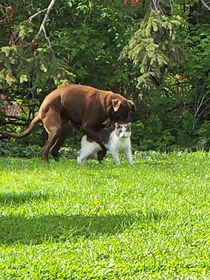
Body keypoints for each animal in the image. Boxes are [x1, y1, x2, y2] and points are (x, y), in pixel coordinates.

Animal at [4, 83, 135, 162]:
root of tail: (41, 110)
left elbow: (100, 143)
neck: (105, 102)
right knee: (45, 150)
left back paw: (58, 162)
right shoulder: (87, 127)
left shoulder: (97, 129)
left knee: (54, 150)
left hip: (64, 130)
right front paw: (101, 155)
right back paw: (47, 162)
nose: (123, 126)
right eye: (120, 116)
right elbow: (101, 144)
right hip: (56, 128)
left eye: (126, 116)